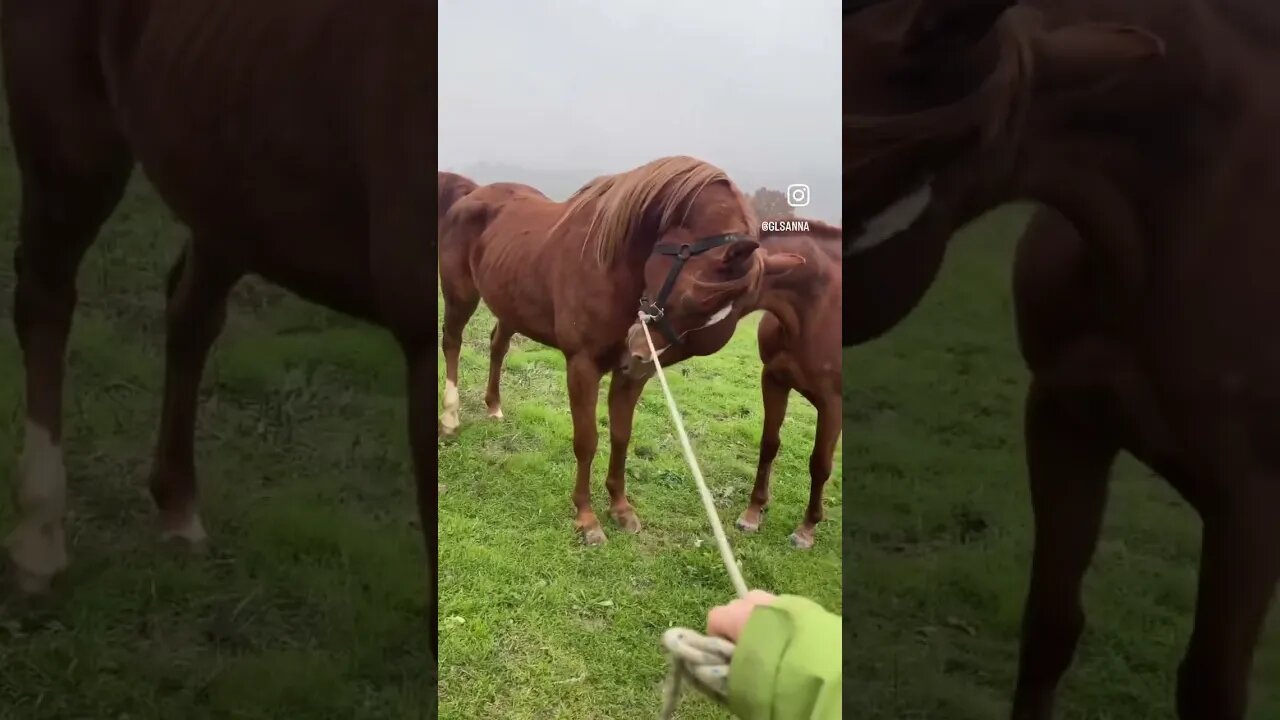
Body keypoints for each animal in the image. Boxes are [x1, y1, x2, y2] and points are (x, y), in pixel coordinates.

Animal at [2, 0, 438, 655]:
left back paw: (178, 509)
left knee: (189, 317)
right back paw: (39, 539)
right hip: (71, 147)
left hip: (226, 183)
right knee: (46, 300)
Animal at [436, 156, 805, 545]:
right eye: (692, 300)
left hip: (510, 306)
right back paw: (450, 418)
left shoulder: (629, 379)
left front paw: (620, 508)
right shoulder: (582, 366)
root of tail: (471, 194)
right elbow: (587, 440)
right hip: (461, 296)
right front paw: (587, 519)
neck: (610, 264)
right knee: (452, 343)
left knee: (498, 344)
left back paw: (494, 406)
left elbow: (621, 436)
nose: (639, 355)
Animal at [729, 219, 843, 550]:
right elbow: (769, 444)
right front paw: (753, 512)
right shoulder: (774, 380)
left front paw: (806, 529)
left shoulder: (833, 403)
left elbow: (820, 464)